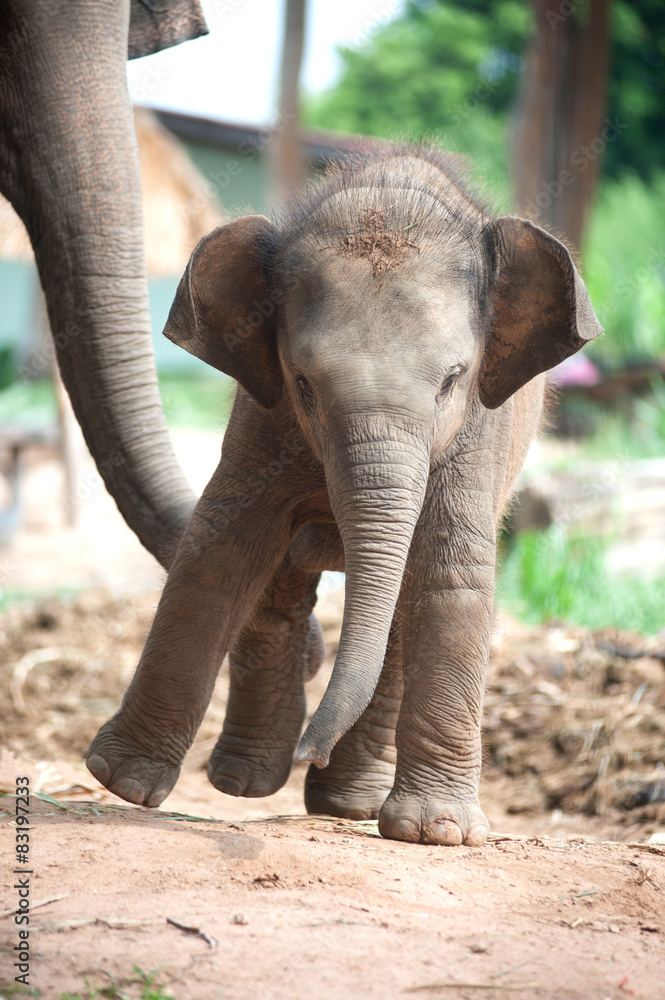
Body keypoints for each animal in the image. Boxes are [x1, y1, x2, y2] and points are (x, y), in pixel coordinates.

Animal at [86, 144, 602, 845]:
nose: (315, 750)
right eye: (304, 383)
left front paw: (438, 834)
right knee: (279, 587)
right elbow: (220, 545)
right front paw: (122, 782)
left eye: (451, 380)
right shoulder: (263, 414)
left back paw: (348, 804)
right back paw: (246, 783)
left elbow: (451, 570)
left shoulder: (479, 434)